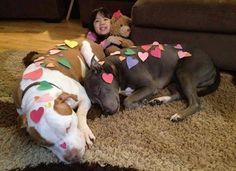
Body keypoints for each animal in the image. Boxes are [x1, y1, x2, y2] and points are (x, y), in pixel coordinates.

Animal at [80, 41, 219, 121]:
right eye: (94, 102)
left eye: (99, 90)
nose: (107, 112)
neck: (115, 67)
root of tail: (213, 63)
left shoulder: (150, 86)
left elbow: (127, 100)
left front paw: (139, 104)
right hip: (174, 80)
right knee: (179, 94)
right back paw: (160, 100)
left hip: (184, 72)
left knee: (195, 102)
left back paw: (178, 115)